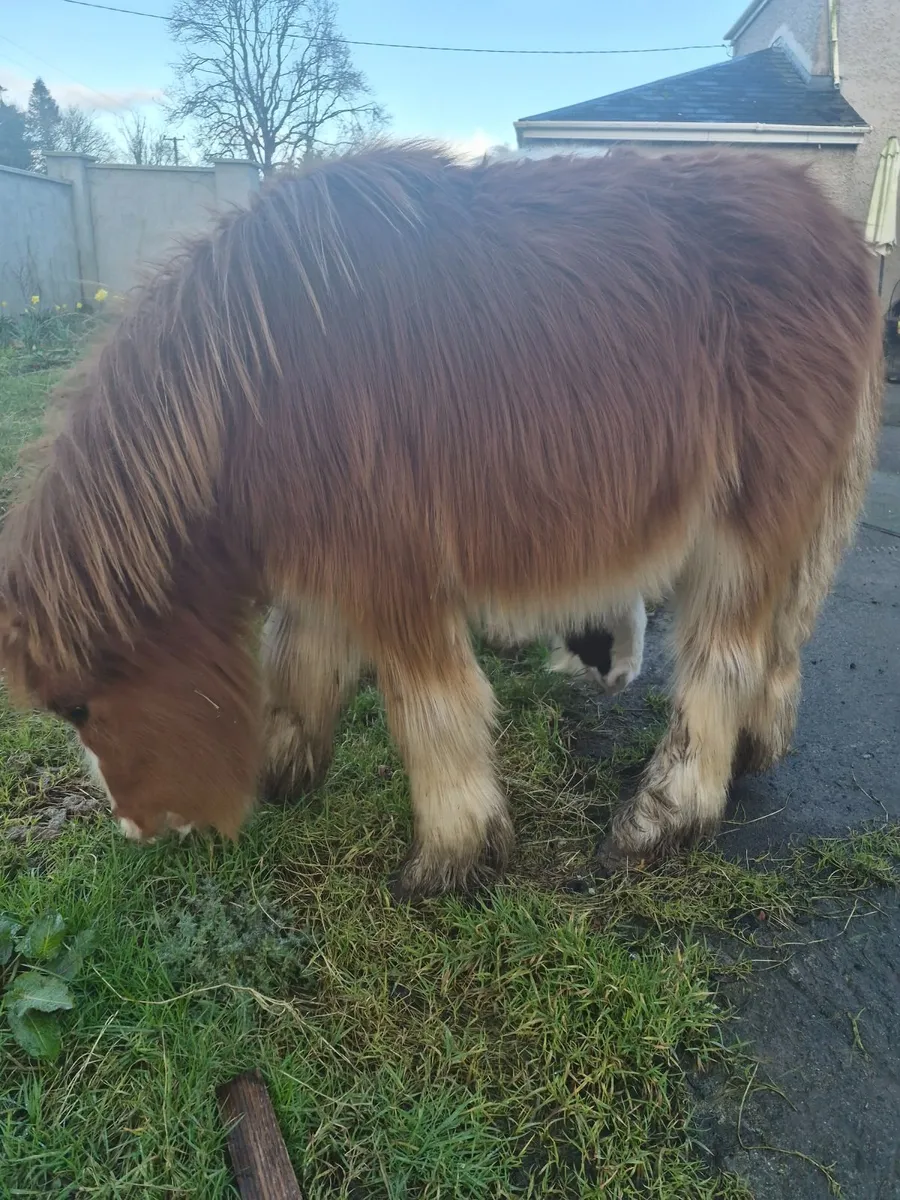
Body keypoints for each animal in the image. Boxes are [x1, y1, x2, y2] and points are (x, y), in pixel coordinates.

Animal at [0, 143, 882, 897]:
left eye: (79, 708)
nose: (134, 832)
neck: (245, 382)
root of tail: (843, 241)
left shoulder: (389, 568)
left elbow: (432, 710)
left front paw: (454, 855)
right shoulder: (324, 559)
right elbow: (296, 661)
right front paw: (286, 769)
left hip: (746, 524)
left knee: (723, 662)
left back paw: (662, 817)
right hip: (797, 525)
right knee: (781, 642)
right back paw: (757, 748)